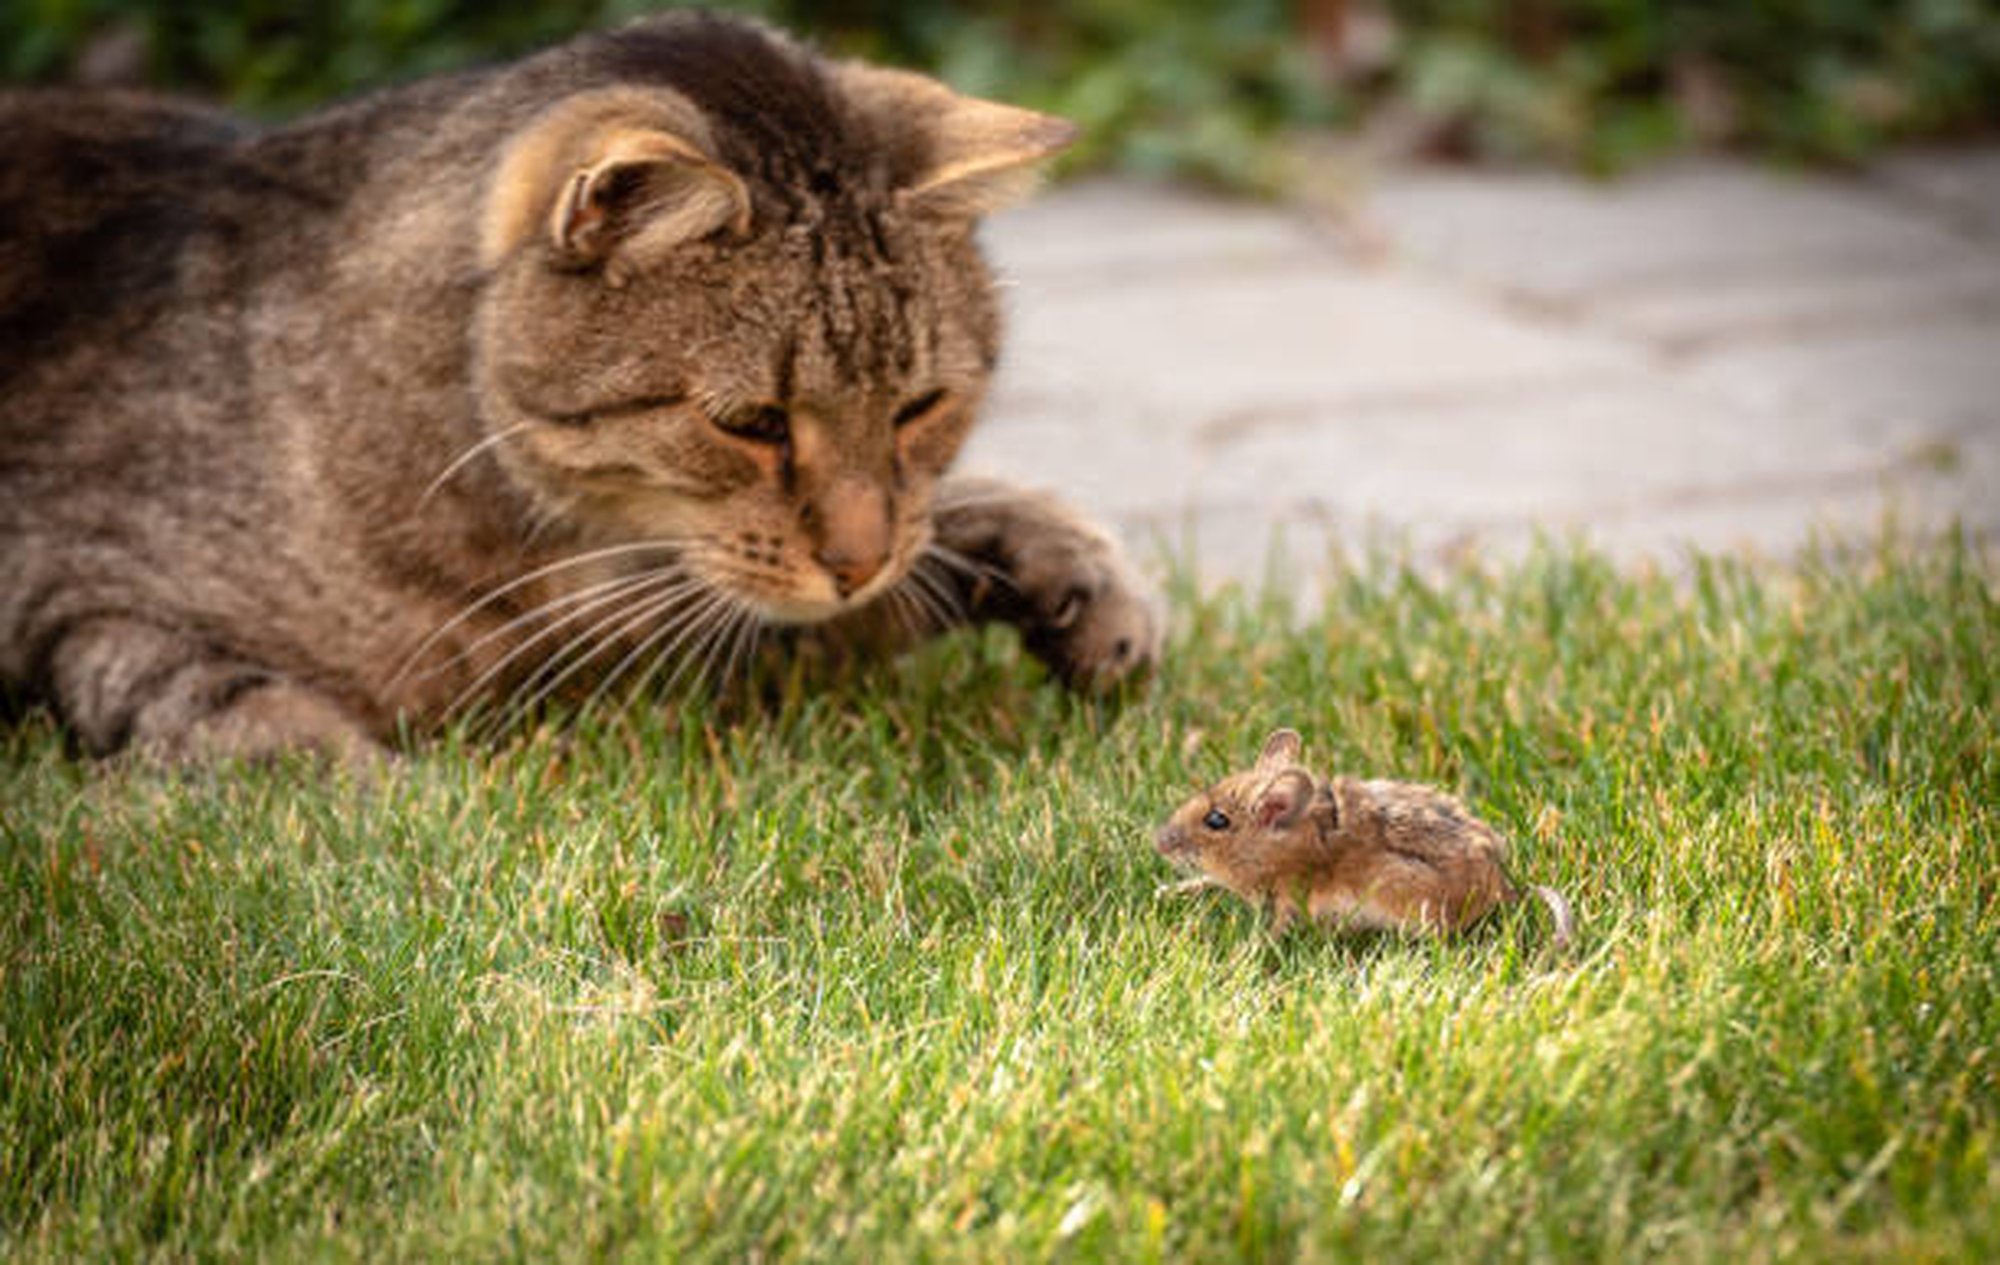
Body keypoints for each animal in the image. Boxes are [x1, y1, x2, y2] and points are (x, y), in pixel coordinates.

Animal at [0, 12, 1160, 760]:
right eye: (750, 423)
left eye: (920, 407)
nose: (856, 562)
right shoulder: (71, 586)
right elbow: (228, 706)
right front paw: (370, 797)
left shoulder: (662, 646)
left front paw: (1063, 569)